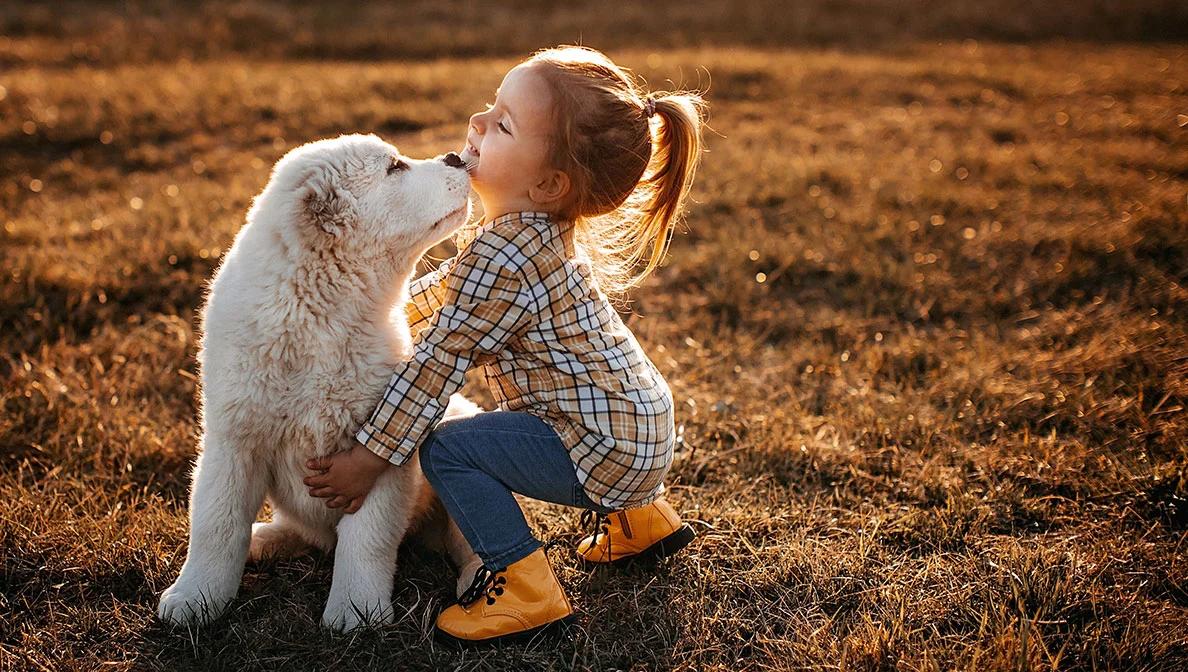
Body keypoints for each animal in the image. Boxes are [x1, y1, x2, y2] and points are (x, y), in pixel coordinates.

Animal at [158, 135, 482, 631]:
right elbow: (216, 523)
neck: (321, 314)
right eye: (394, 168)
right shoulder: (234, 438)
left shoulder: (372, 454)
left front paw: (356, 611)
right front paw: (195, 599)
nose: (455, 157)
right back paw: (263, 539)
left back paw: (479, 582)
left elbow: (367, 538)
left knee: (465, 538)